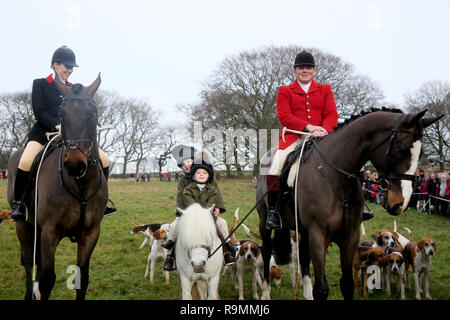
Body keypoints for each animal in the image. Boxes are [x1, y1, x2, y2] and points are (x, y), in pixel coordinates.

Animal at [7, 74, 107, 300]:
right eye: (61, 114)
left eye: (92, 113)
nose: (75, 164)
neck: (81, 185)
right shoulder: (49, 231)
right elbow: (47, 280)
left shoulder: (91, 232)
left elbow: (82, 278)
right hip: (24, 225)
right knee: (28, 260)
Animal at [256, 108, 442, 300]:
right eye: (401, 149)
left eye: (421, 154)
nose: (401, 204)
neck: (336, 177)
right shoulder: (319, 235)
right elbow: (321, 288)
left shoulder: (350, 236)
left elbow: (347, 284)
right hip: (265, 223)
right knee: (267, 251)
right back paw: (265, 293)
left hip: (304, 231)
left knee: (304, 258)